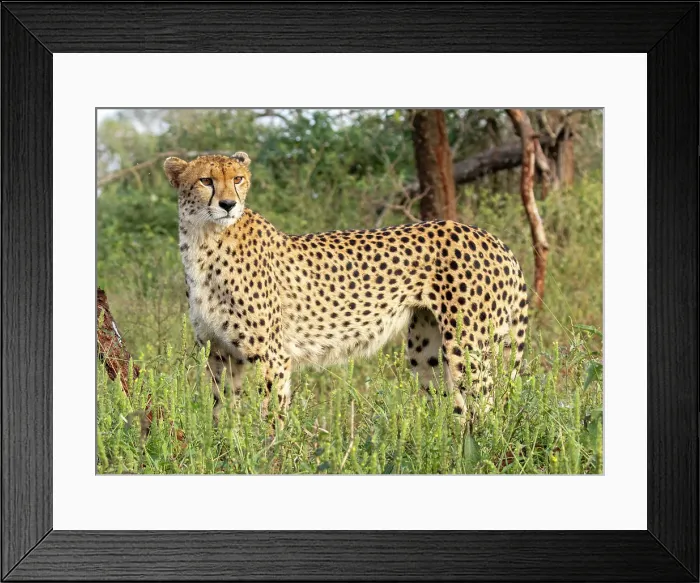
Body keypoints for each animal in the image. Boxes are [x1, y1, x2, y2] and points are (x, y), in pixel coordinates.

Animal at [164, 152, 529, 427]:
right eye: (206, 181)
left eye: (238, 179)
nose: (228, 204)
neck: (205, 240)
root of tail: (491, 237)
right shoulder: (220, 352)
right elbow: (223, 412)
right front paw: (227, 452)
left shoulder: (272, 355)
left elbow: (272, 417)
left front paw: (272, 457)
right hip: (427, 349)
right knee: (454, 405)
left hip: (469, 345)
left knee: (487, 407)